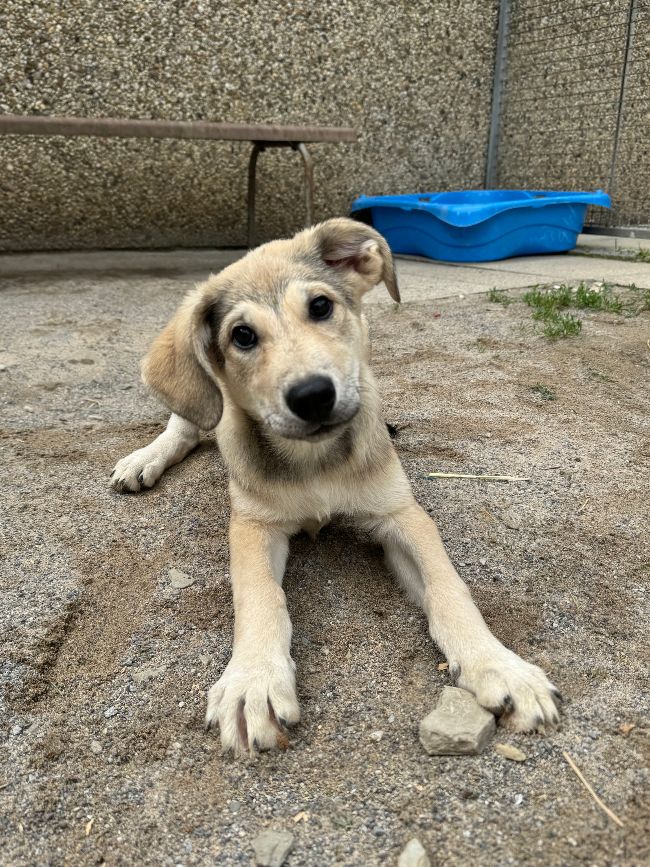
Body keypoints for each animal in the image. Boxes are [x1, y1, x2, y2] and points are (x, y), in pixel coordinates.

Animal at [111, 218, 560, 755]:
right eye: (242, 335)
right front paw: (254, 681)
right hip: (201, 400)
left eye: (321, 306)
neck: (316, 462)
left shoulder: (401, 514)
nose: (312, 396)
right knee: (185, 421)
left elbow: (449, 588)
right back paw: (145, 459)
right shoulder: (253, 525)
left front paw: (499, 665)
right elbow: (260, 597)